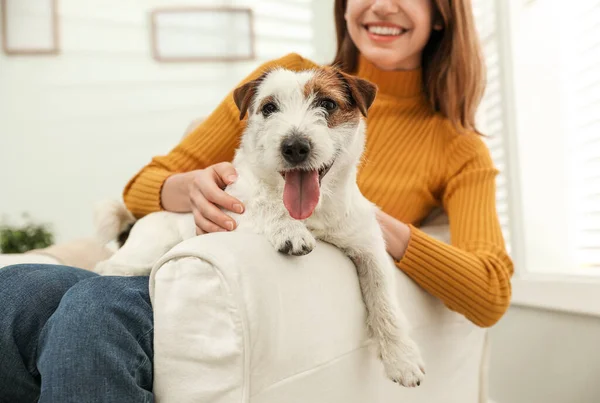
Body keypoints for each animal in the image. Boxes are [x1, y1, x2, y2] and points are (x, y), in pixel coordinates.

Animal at [94, 64, 424, 386]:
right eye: (269, 108)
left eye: (328, 104)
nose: (294, 147)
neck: (312, 214)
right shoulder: (233, 206)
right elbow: (262, 202)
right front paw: (289, 229)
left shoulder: (368, 244)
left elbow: (385, 298)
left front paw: (402, 358)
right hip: (143, 254)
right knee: (106, 268)